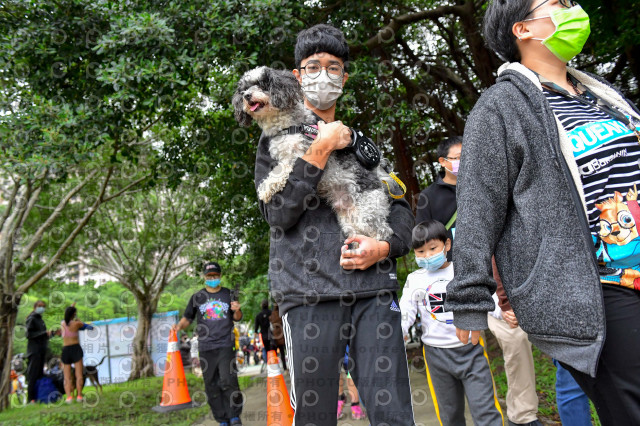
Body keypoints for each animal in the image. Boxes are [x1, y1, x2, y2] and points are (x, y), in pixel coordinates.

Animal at [232, 65, 398, 241]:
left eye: (261, 84)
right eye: (243, 89)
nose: (247, 95)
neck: (289, 126)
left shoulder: (299, 153)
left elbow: (280, 170)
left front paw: (265, 187)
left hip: (367, 212)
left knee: (383, 232)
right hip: (349, 220)